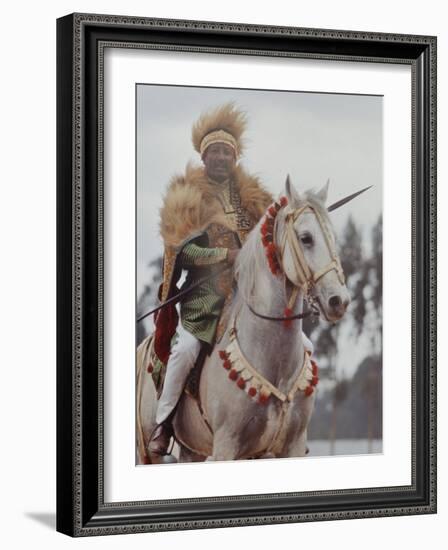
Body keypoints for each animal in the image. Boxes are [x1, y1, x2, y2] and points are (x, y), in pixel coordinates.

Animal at [136, 179, 350, 464]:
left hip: (193, 450)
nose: (339, 301)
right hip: (148, 452)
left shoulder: (291, 446)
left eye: (334, 238)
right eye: (306, 238)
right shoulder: (226, 445)